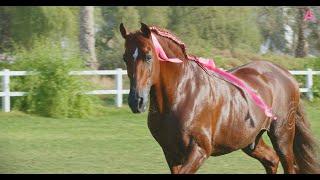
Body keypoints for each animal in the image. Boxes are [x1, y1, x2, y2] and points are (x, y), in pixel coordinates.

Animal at [119, 22, 318, 173]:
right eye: (125, 58)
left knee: (288, 164)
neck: (182, 94)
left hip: (282, 136)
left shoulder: (199, 150)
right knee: (271, 160)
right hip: (251, 141)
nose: (136, 101)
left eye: (148, 56)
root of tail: (287, 75)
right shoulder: (171, 153)